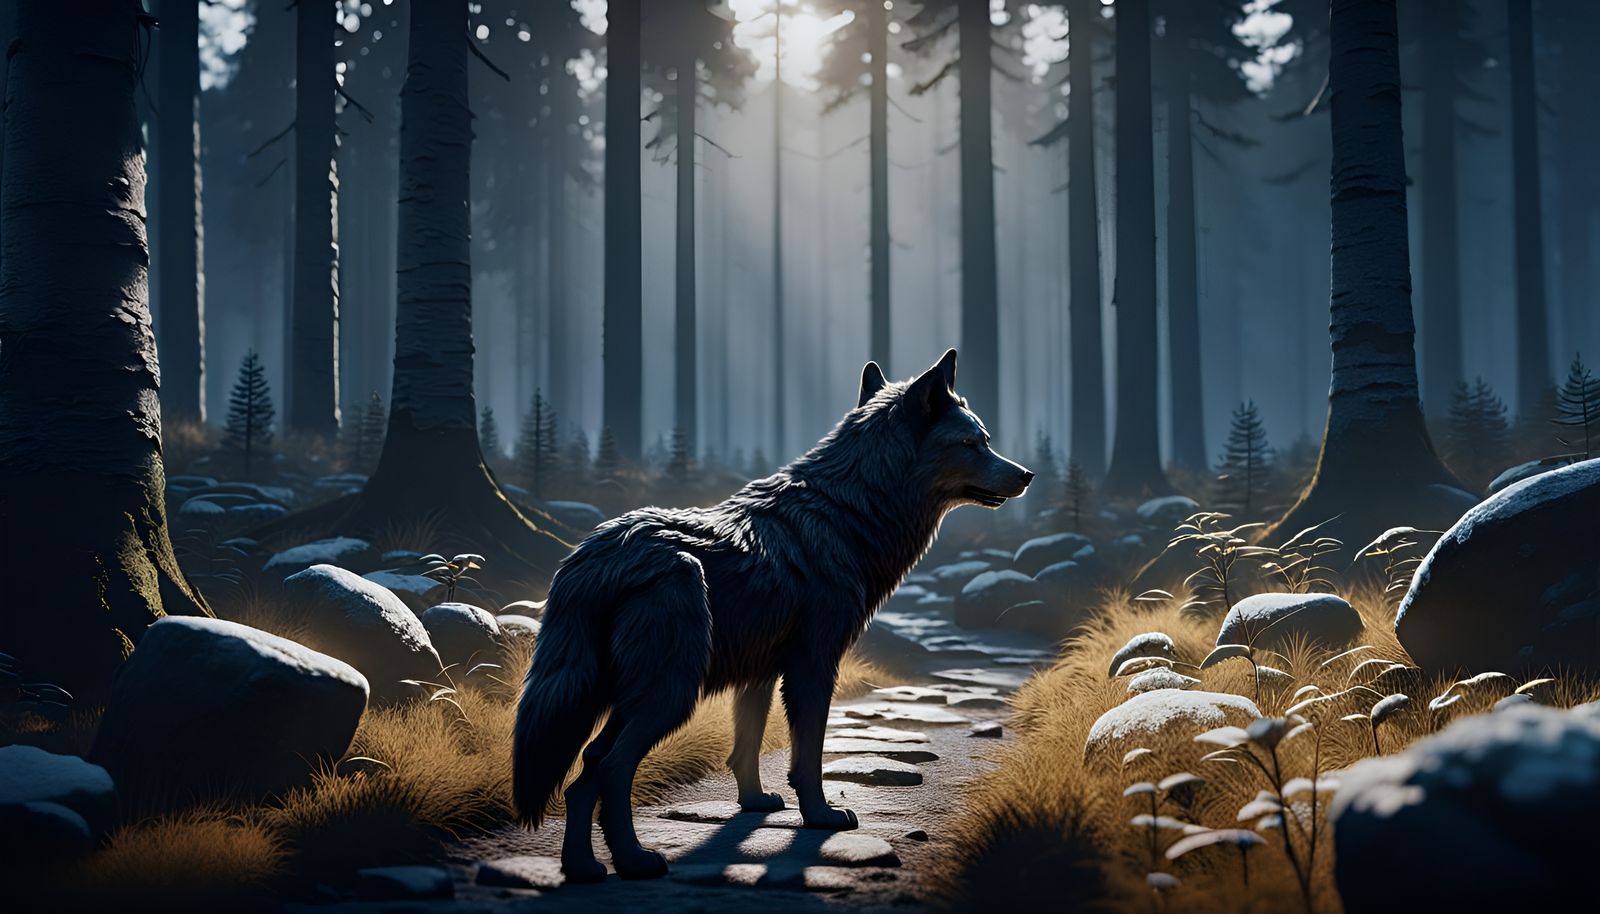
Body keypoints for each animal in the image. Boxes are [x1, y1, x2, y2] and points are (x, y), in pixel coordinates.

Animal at [512, 349, 1033, 881]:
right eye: (971, 444)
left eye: (986, 441)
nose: (1026, 475)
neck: (848, 512)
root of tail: (593, 555)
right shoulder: (814, 665)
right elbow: (809, 758)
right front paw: (821, 816)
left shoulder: (758, 674)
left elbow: (747, 746)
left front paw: (755, 803)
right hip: (670, 694)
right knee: (612, 768)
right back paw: (635, 861)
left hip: (631, 695)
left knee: (585, 772)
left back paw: (582, 867)